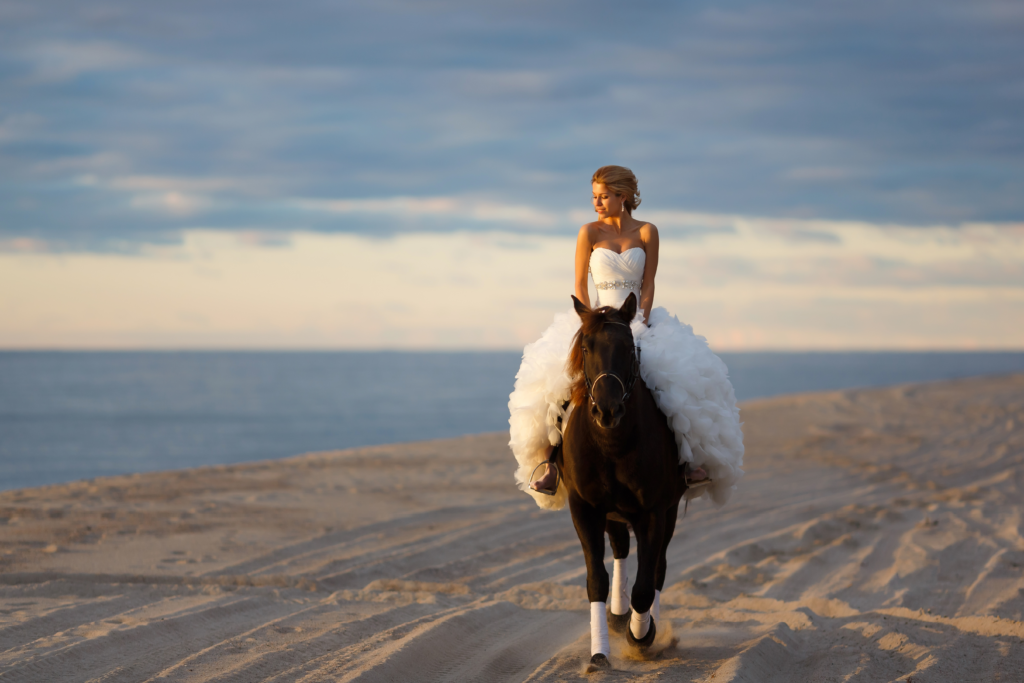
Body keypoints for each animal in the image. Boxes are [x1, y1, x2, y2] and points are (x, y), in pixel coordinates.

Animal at [557, 292, 692, 667]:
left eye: (629, 347)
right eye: (585, 347)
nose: (607, 409)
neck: (612, 444)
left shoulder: (654, 512)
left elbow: (646, 584)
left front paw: (641, 635)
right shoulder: (584, 508)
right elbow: (596, 580)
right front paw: (599, 652)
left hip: (667, 512)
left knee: (658, 566)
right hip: (611, 513)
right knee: (619, 547)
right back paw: (617, 615)